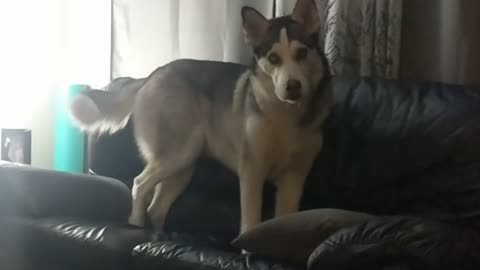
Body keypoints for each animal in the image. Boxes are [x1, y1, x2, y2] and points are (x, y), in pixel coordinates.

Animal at [70, 0, 330, 233]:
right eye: (274, 58)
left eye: (302, 53)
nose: (293, 86)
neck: (286, 115)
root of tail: (153, 73)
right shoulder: (252, 172)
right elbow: (250, 223)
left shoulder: (293, 180)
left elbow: (283, 221)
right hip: (177, 153)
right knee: (139, 185)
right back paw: (135, 224)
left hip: (183, 165)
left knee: (156, 207)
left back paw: (158, 238)